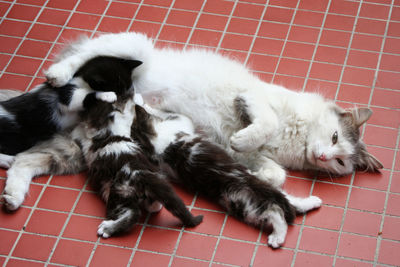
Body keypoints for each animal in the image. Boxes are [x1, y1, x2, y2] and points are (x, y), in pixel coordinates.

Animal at [0, 56, 142, 157]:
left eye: (127, 88)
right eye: (117, 90)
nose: (123, 98)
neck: (82, 82)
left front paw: (137, 99)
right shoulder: (66, 95)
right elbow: (83, 97)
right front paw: (107, 95)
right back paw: (7, 160)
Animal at [45, 31, 382, 188]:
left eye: (340, 162)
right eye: (335, 137)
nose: (323, 156)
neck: (297, 139)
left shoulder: (263, 157)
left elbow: (276, 175)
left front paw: (253, 172)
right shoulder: (252, 97)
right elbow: (266, 123)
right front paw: (244, 138)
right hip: (132, 47)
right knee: (82, 57)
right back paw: (56, 74)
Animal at [69, 92, 203, 239]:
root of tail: (142, 175)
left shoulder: (95, 120)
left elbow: (88, 104)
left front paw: (108, 96)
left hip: (119, 191)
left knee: (133, 214)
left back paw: (107, 229)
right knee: (151, 207)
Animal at [131, 103, 322, 249]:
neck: (154, 145)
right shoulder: (181, 123)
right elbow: (173, 115)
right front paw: (145, 104)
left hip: (261, 190)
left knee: (291, 202)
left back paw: (313, 202)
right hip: (247, 204)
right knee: (276, 212)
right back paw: (277, 237)